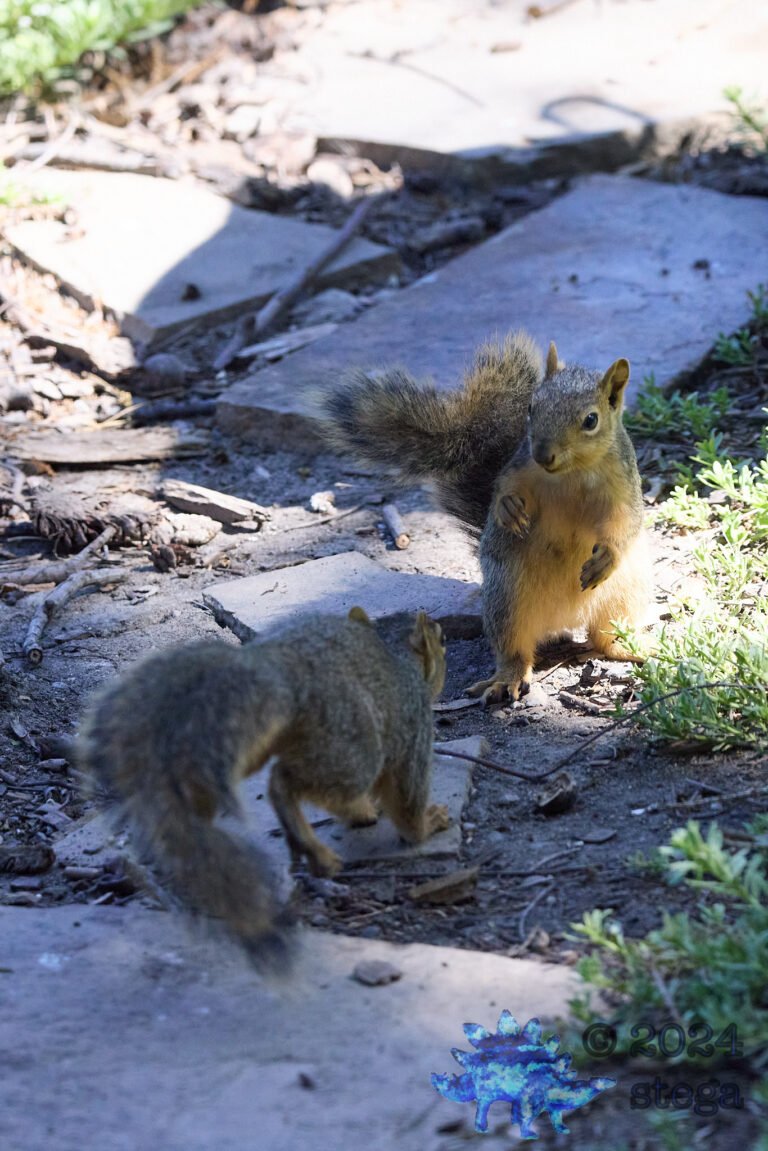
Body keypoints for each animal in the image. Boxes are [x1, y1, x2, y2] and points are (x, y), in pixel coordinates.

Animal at [77, 608, 450, 969]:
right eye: (441, 638)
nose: (442, 639)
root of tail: (280, 674)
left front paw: (366, 810)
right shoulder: (414, 726)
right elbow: (407, 799)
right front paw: (424, 825)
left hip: (248, 733)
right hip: (352, 741)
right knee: (284, 782)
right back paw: (311, 845)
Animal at [322, 332, 651, 704]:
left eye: (591, 420)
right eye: (531, 408)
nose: (543, 454)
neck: (573, 473)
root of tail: (563, 619)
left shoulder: (624, 485)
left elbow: (627, 522)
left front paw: (606, 556)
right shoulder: (518, 467)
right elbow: (501, 489)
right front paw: (507, 509)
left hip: (625, 591)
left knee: (602, 637)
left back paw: (630, 647)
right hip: (507, 598)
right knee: (514, 650)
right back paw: (506, 679)